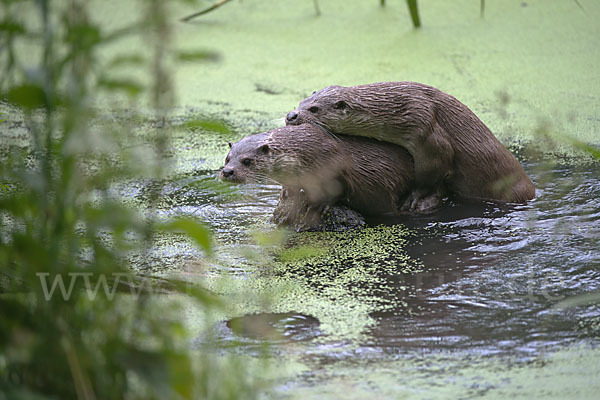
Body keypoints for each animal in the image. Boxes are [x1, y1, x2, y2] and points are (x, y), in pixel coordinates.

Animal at [218, 123, 434, 230]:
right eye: (227, 158)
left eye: (247, 161)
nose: (228, 171)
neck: (306, 152)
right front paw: (287, 197)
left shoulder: (336, 166)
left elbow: (339, 189)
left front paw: (319, 205)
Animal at [284, 83, 536, 211]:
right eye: (301, 102)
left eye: (314, 109)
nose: (291, 115)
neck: (399, 108)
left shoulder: (426, 129)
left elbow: (434, 169)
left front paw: (414, 198)